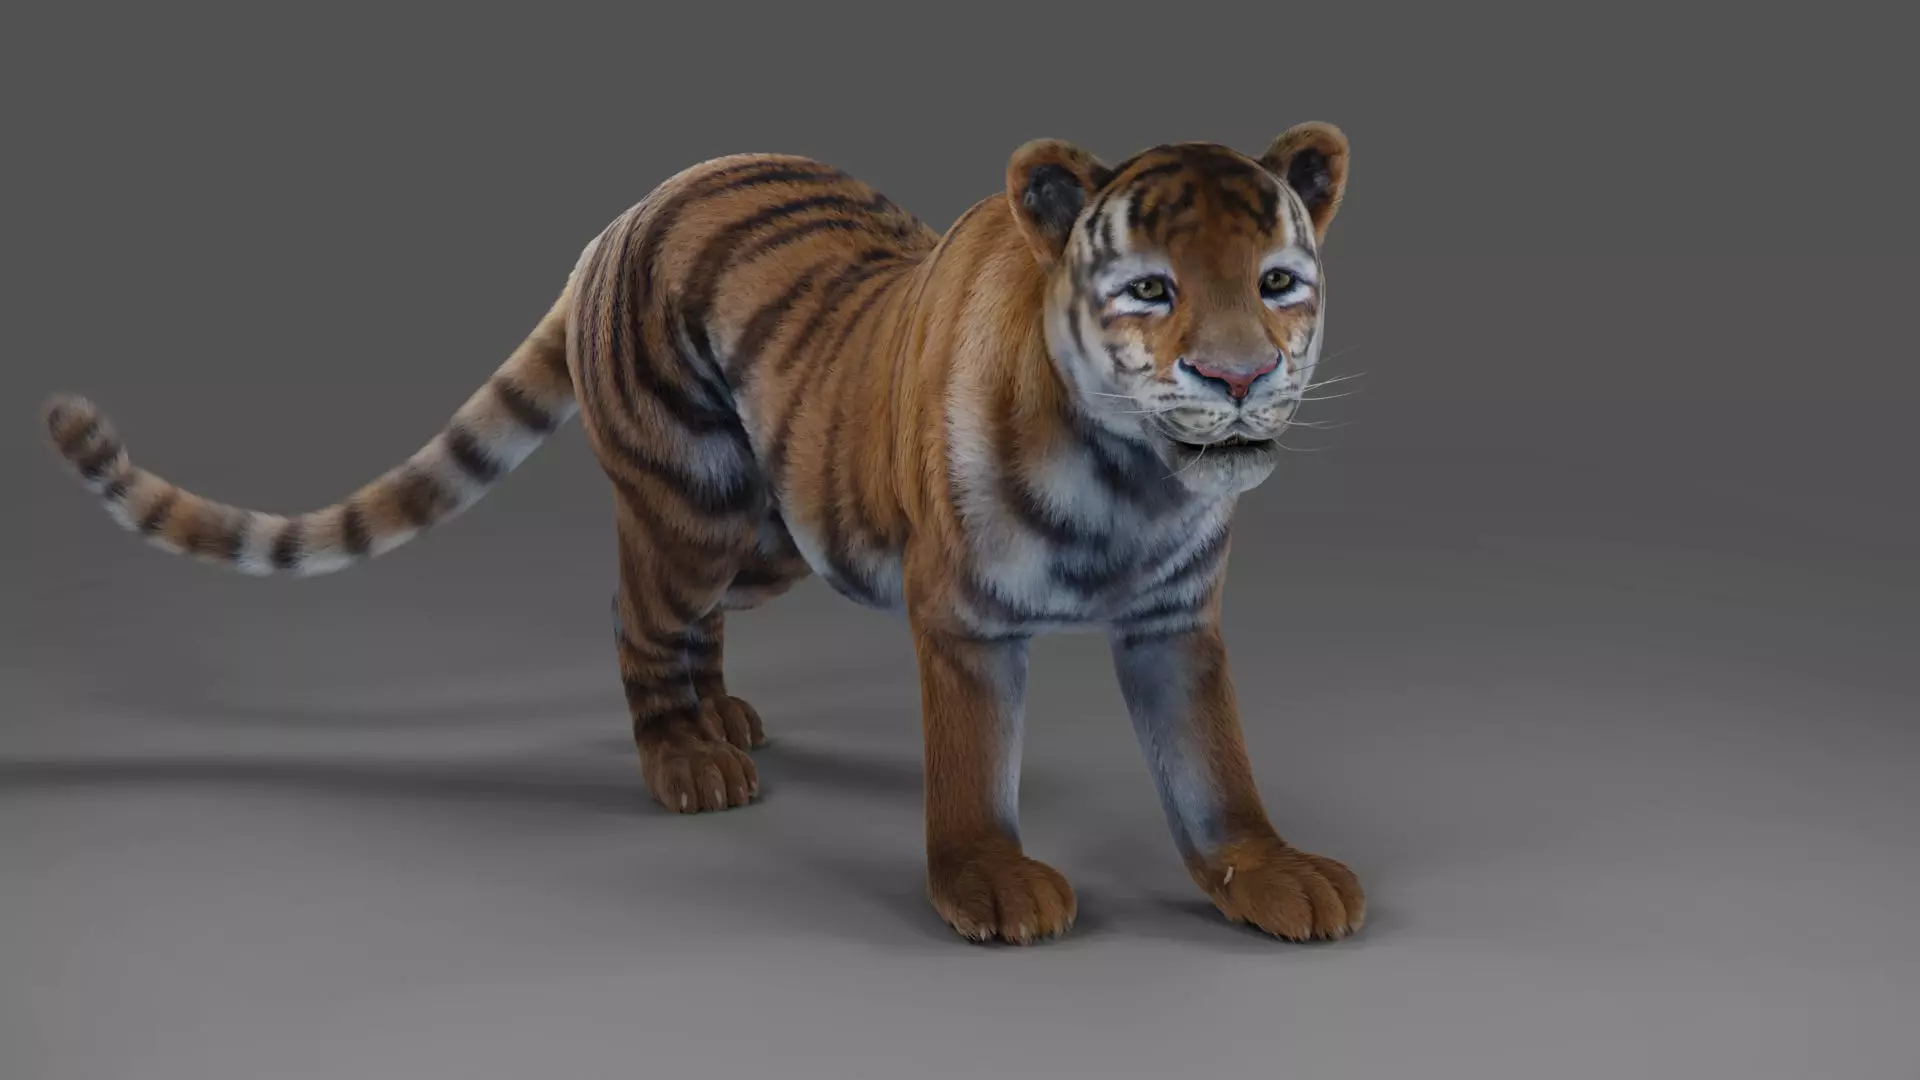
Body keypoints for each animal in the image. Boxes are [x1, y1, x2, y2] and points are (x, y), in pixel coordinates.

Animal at [41, 121, 1364, 946]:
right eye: (1150, 290)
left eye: (1277, 283)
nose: (1239, 376)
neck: (1137, 478)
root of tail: (632, 209)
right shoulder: (964, 623)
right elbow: (974, 764)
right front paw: (988, 882)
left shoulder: (1175, 626)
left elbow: (1212, 769)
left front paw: (1274, 873)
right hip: (696, 504)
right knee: (639, 614)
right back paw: (685, 758)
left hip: (788, 532)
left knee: (696, 620)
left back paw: (720, 716)